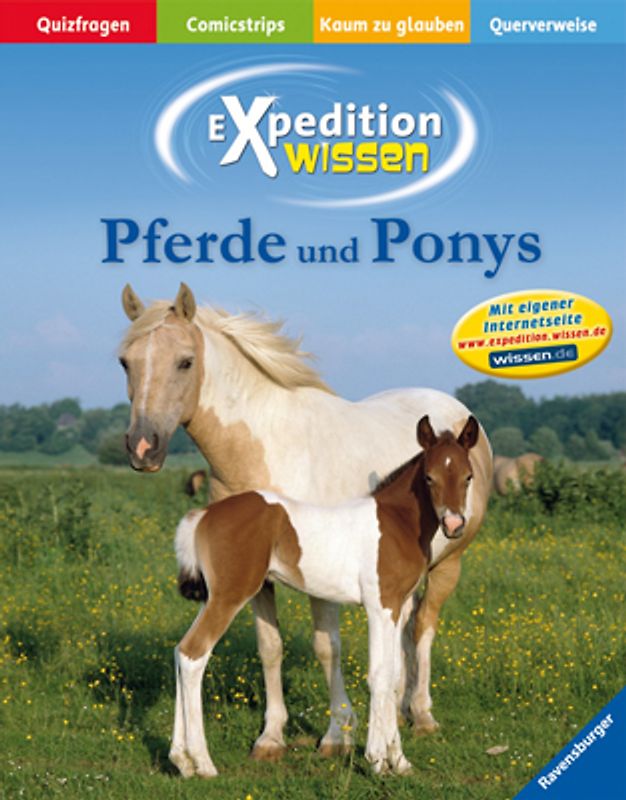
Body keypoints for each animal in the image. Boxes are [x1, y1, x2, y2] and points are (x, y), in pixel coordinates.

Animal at [170, 415, 480, 778]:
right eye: (430, 477)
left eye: (468, 476)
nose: (454, 523)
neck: (396, 523)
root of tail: (202, 516)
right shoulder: (379, 606)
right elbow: (379, 676)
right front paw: (377, 759)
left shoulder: (398, 607)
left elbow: (392, 677)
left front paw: (399, 761)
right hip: (230, 596)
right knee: (193, 655)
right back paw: (203, 763)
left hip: (213, 597)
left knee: (180, 651)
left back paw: (180, 760)